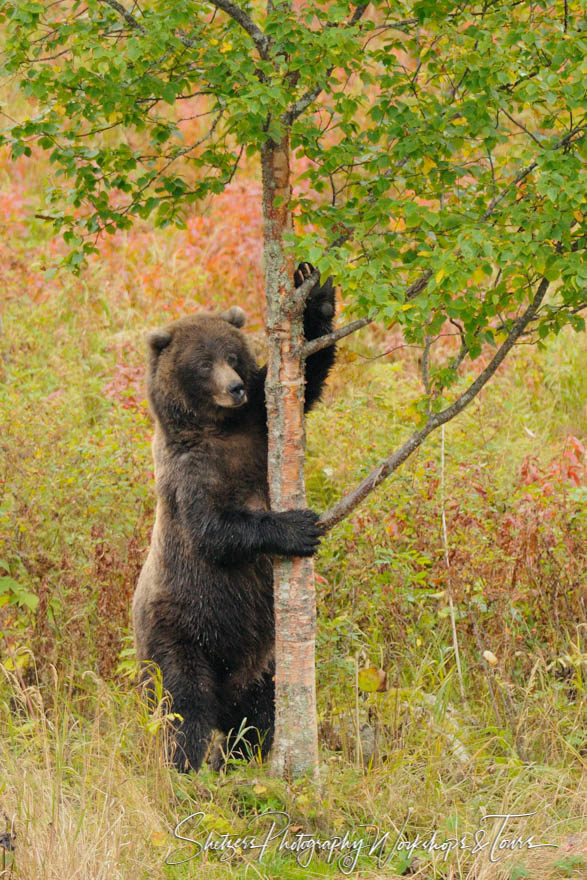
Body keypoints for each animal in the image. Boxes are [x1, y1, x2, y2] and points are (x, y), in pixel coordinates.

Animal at [133, 262, 336, 768]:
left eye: (231, 354)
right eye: (203, 363)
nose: (235, 387)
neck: (219, 428)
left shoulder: (258, 425)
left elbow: (306, 380)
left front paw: (316, 293)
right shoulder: (189, 473)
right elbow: (215, 530)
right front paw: (297, 527)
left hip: (259, 656)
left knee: (262, 705)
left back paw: (246, 754)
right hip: (180, 629)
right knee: (183, 705)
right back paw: (186, 765)